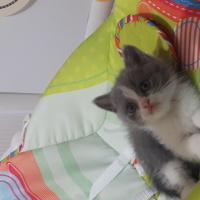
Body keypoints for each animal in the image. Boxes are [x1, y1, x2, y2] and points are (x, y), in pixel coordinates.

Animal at [94, 45, 200, 200]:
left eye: (144, 85)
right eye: (131, 107)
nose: (146, 103)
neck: (170, 112)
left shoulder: (190, 104)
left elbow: (195, 116)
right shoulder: (172, 142)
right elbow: (189, 144)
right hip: (157, 158)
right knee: (174, 173)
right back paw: (189, 189)